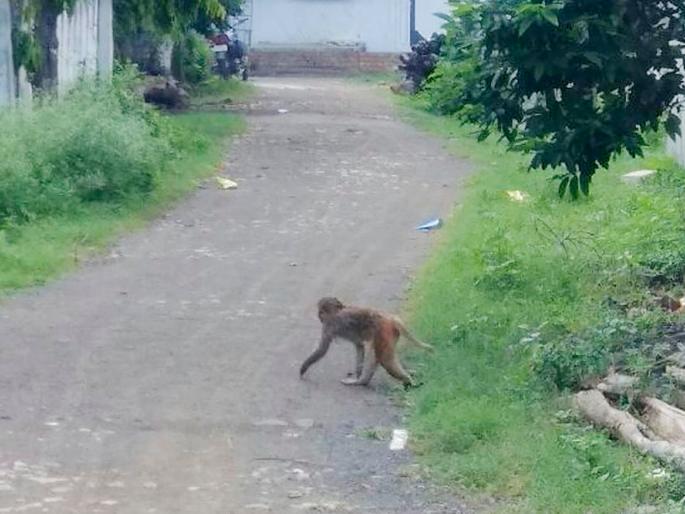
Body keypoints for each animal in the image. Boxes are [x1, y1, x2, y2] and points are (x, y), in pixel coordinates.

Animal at [299, 297, 433, 389]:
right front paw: (358, 373)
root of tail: (390, 318)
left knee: (383, 358)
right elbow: (359, 345)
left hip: (383, 331)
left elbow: (322, 350)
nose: (319, 316)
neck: (337, 310)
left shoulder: (329, 325)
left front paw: (303, 368)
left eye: (321, 312)